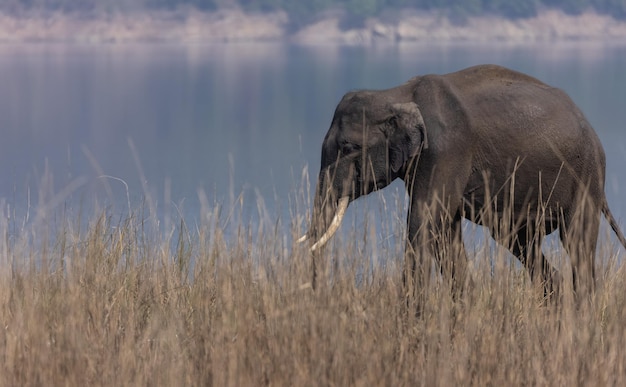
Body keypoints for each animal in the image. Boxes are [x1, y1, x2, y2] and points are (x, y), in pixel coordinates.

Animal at [298, 64, 624, 300]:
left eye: (348, 148)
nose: (314, 296)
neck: (396, 93)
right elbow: (444, 231)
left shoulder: (446, 150)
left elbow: (423, 223)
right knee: (518, 242)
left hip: (587, 175)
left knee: (576, 241)